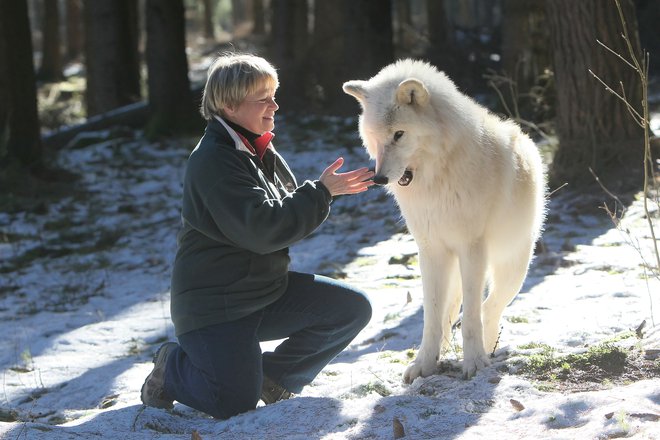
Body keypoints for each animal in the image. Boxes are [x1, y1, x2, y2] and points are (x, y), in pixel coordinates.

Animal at [342, 59, 544, 382]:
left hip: (512, 268)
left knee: (488, 308)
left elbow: (472, 316)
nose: (379, 178)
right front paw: (425, 363)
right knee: (453, 312)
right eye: (375, 136)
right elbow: (432, 317)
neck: (436, 178)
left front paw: (474, 363)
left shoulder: (471, 248)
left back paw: (488, 348)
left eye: (399, 134)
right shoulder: (431, 250)